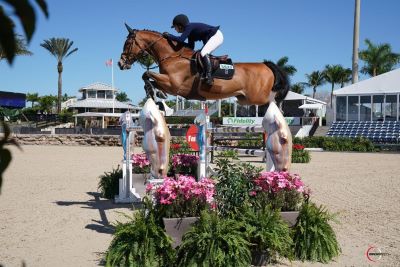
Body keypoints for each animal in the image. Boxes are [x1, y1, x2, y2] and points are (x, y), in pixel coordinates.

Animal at [117, 24, 290, 107]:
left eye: (128, 43)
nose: (120, 63)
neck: (172, 55)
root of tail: (266, 65)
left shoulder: (173, 84)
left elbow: (146, 74)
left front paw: (156, 93)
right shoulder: (168, 84)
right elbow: (149, 79)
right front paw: (157, 93)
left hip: (258, 97)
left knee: (274, 102)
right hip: (244, 99)